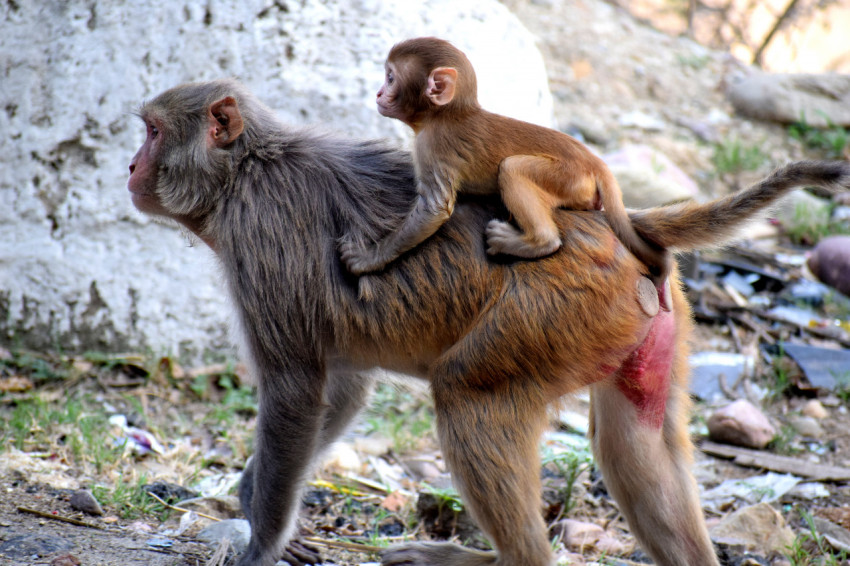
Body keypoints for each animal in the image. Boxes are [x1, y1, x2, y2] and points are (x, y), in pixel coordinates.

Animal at [127, 80, 848, 566]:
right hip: (635, 323)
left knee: (468, 396)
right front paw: (251, 494)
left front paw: (263, 541)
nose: (131, 167)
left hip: (550, 315)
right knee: (633, 442)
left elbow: (297, 391)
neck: (245, 172)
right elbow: (343, 389)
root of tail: (618, 222)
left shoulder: (264, 246)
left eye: (153, 132)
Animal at [340, 36, 668, 284]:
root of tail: (594, 162)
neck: (445, 114)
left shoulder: (433, 146)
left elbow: (434, 210)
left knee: (513, 168)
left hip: (567, 177)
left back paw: (535, 242)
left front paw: (370, 258)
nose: (379, 93)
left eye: (390, 77)